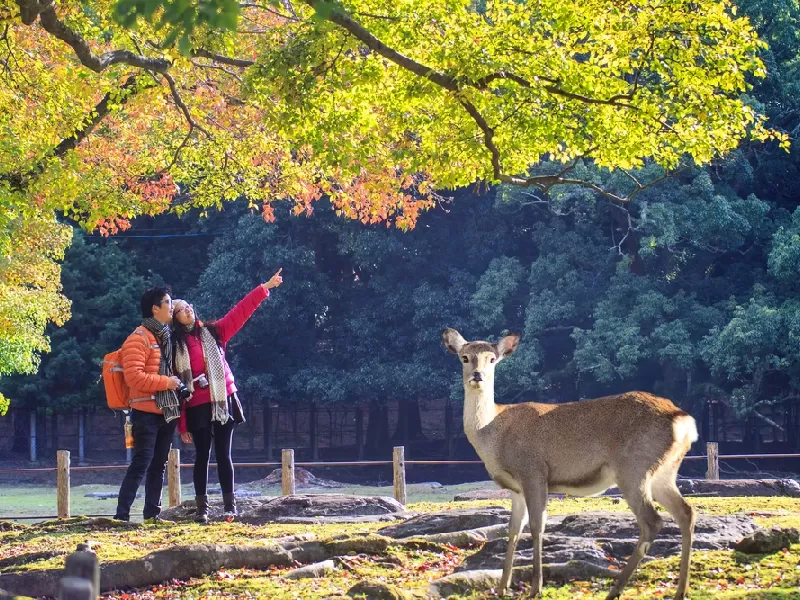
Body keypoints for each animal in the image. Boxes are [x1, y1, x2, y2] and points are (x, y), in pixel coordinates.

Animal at [440, 328, 696, 600]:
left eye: (492, 359)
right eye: (465, 357)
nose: (477, 375)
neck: (493, 435)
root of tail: (683, 421)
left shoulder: (534, 471)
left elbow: (537, 526)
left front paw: (535, 588)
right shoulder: (515, 488)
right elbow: (513, 530)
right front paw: (501, 588)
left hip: (633, 467)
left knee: (652, 521)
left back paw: (615, 590)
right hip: (664, 472)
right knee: (686, 512)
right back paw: (680, 590)